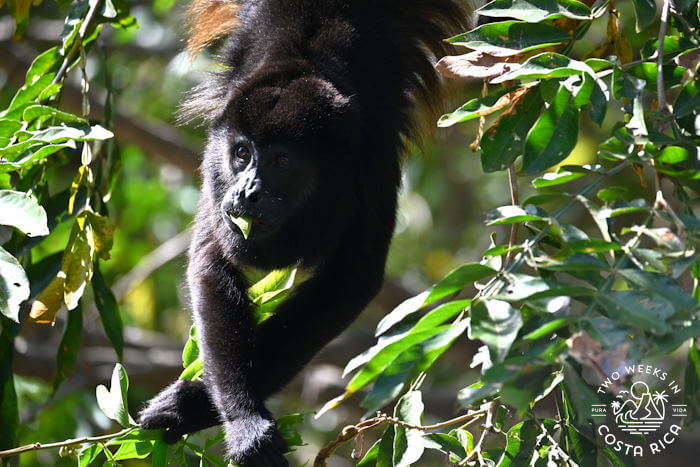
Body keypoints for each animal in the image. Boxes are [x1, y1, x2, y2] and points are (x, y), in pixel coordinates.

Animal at [138, 1, 472, 465]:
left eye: (281, 161)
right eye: (242, 153)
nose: (247, 191)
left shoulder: (369, 161)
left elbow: (350, 279)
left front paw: (194, 406)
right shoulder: (214, 167)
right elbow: (211, 262)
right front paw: (242, 418)